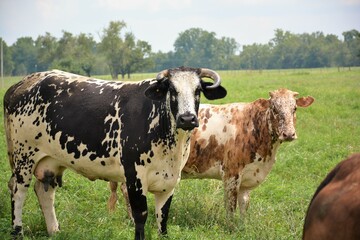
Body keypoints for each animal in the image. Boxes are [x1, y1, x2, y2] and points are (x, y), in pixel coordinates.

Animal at [4, 67, 226, 240]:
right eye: (172, 90)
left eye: (198, 90)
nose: (187, 118)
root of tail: (22, 83)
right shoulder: (135, 177)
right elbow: (140, 216)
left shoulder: (169, 181)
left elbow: (162, 220)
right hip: (23, 157)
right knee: (17, 190)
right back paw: (17, 232)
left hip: (51, 161)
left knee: (44, 191)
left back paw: (54, 231)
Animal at [108, 88, 314, 219]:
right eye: (274, 108)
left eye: (294, 108)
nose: (289, 134)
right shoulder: (231, 174)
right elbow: (230, 206)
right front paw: (231, 228)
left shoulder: (248, 177)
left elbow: (244, 205)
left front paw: (243, 226)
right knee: (126, 190)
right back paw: (131, 219)